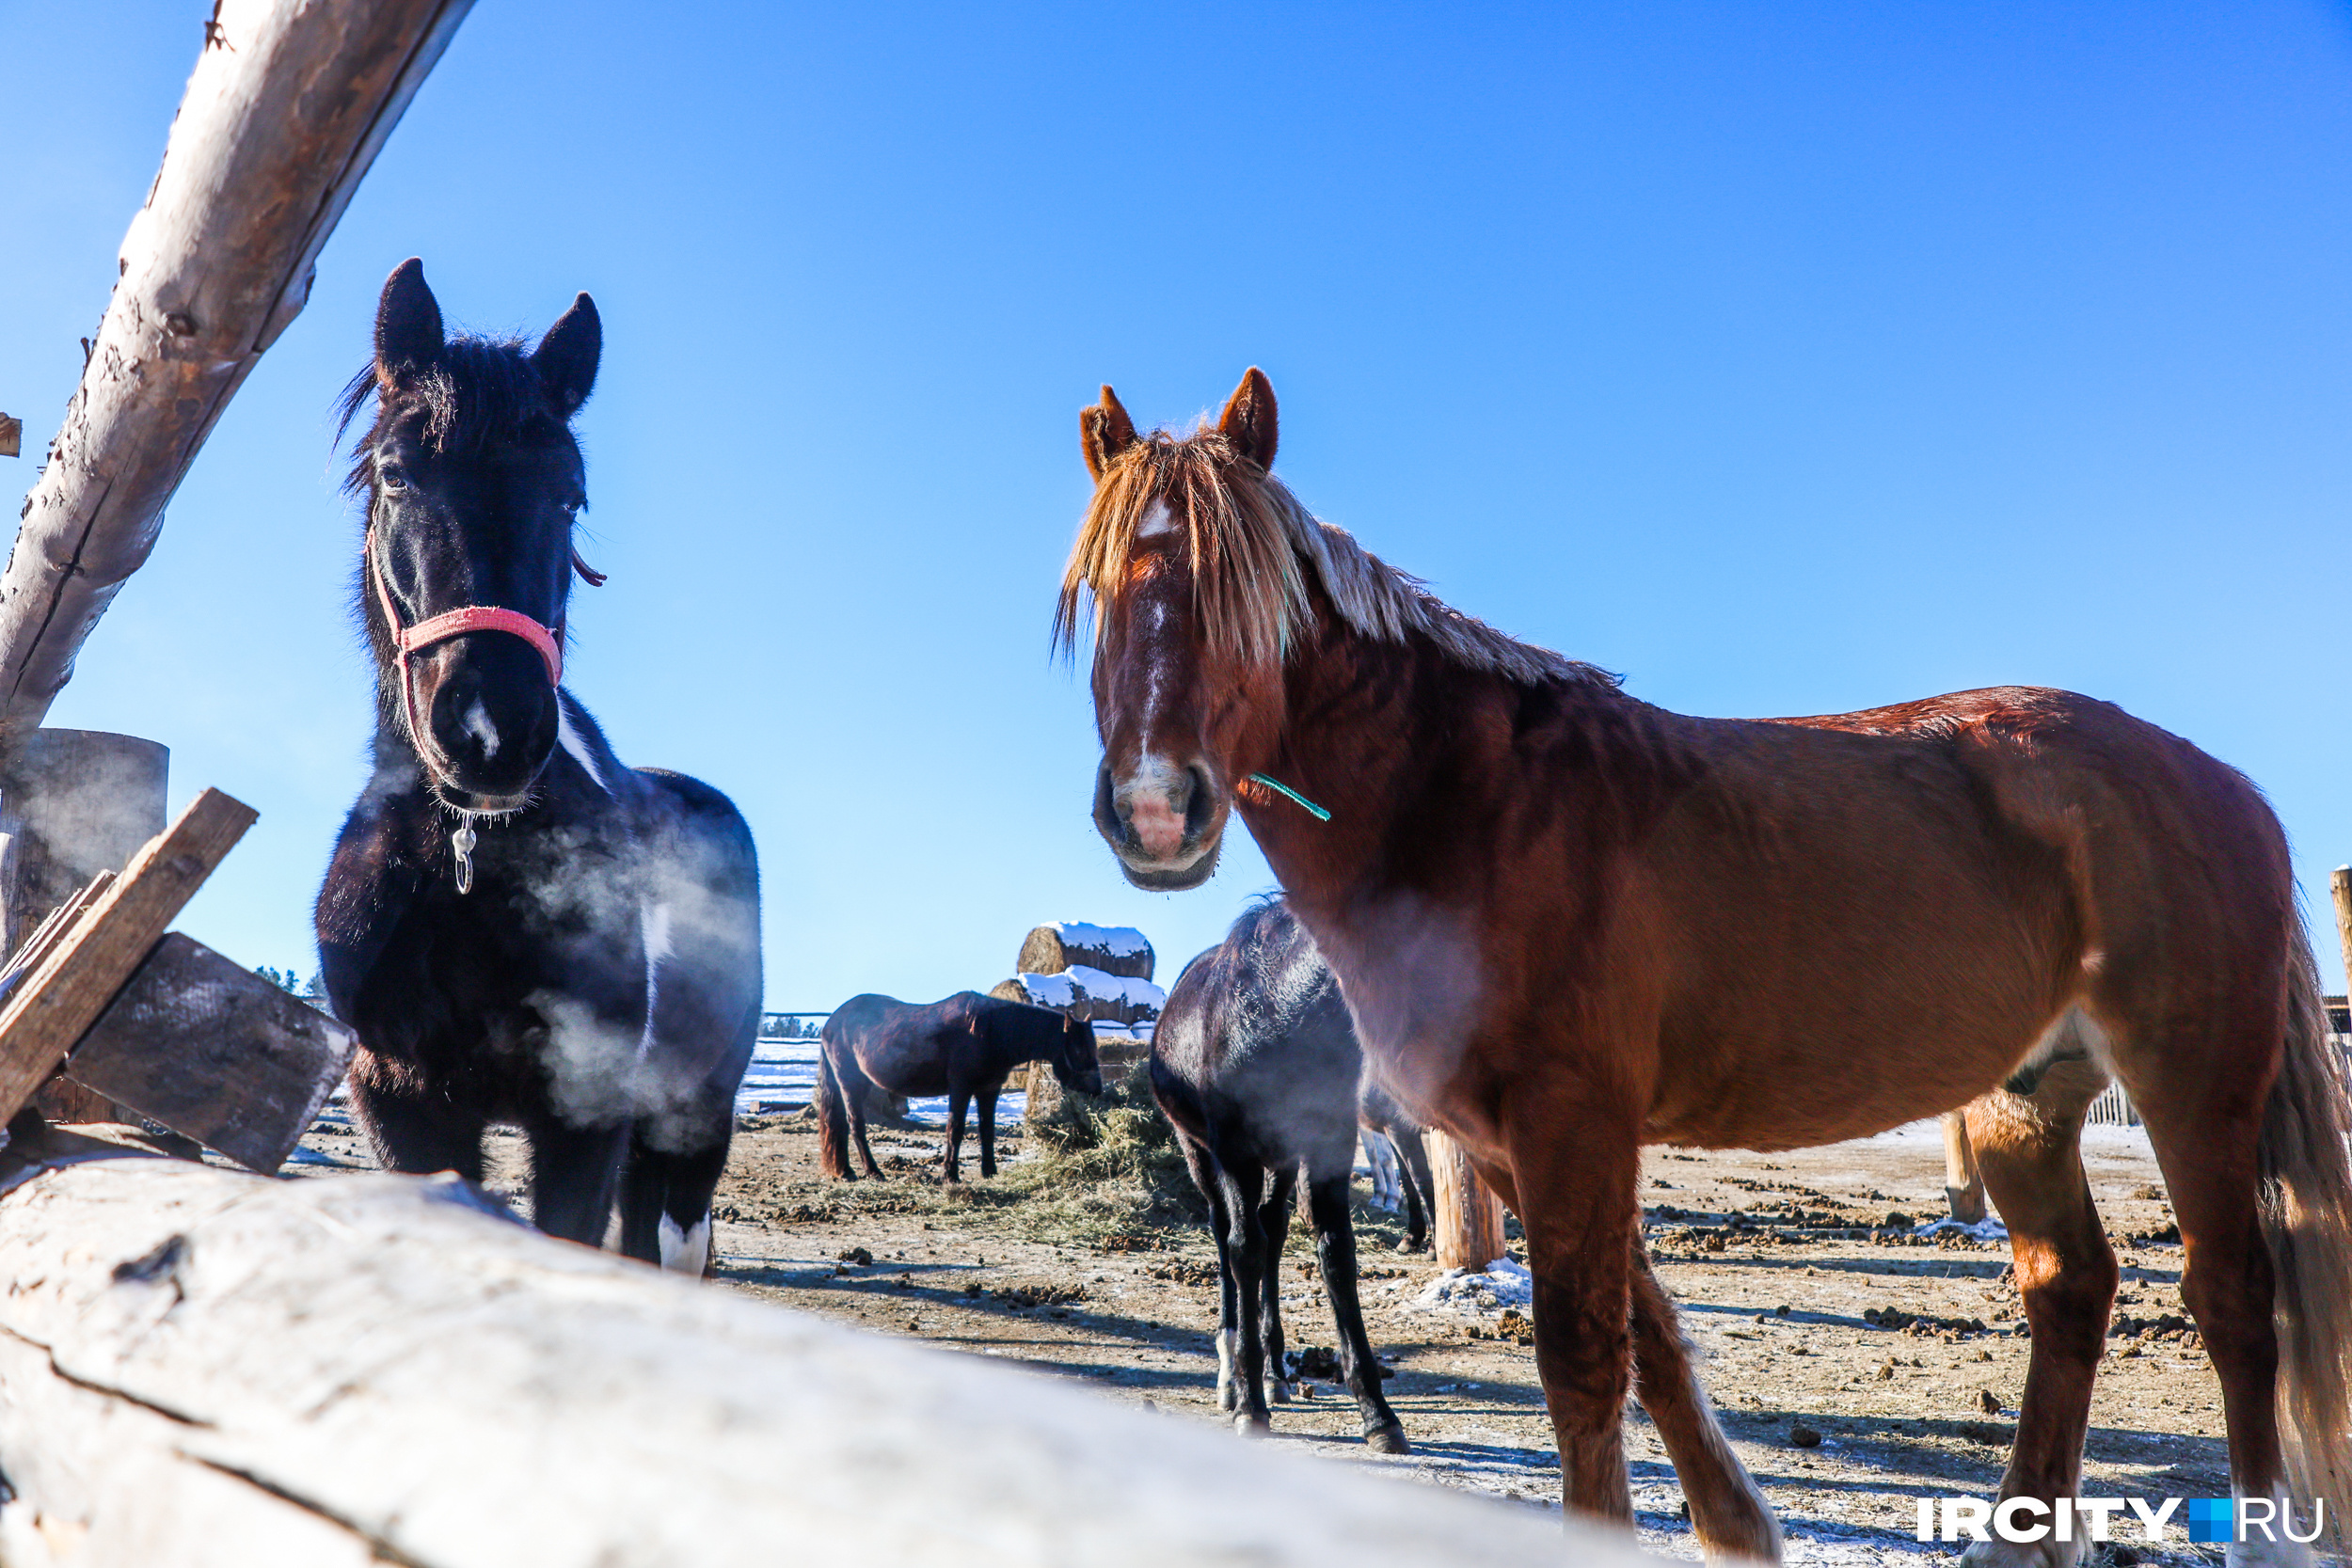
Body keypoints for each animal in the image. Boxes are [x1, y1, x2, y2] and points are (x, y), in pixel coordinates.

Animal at [315, 261, 762, 1278]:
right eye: (396, 473)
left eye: (572, 495)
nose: (491, 728)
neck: (465, 861)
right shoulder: (399, 1101)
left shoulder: (584, 1114)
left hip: (694, 1119)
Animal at [818, 1001, 1101, 1184]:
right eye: (1077, 1049)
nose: (1096, 1089)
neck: (989, 1032)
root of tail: (832, 1021)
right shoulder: (960, 1088)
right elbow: (955, 1129)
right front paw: (950, 1174)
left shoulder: (989, 1090)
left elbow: (987, 1131)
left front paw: (990, 1170)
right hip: (851, 1083)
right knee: (856, 1125)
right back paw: (871, 1172)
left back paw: (846, 1171)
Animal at [1148, 902, 1402, 1457]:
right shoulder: (1233, 1151)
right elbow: (1243, 1250)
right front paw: (1248, 1406)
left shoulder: (1327, 1142)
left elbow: (1336, 1254)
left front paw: (1377, 1414)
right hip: (1198, 1152)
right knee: (1226, 1233)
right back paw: (1231, 1374)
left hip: (1281, 1161)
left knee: (1274, 1230)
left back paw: (1274, 1373)